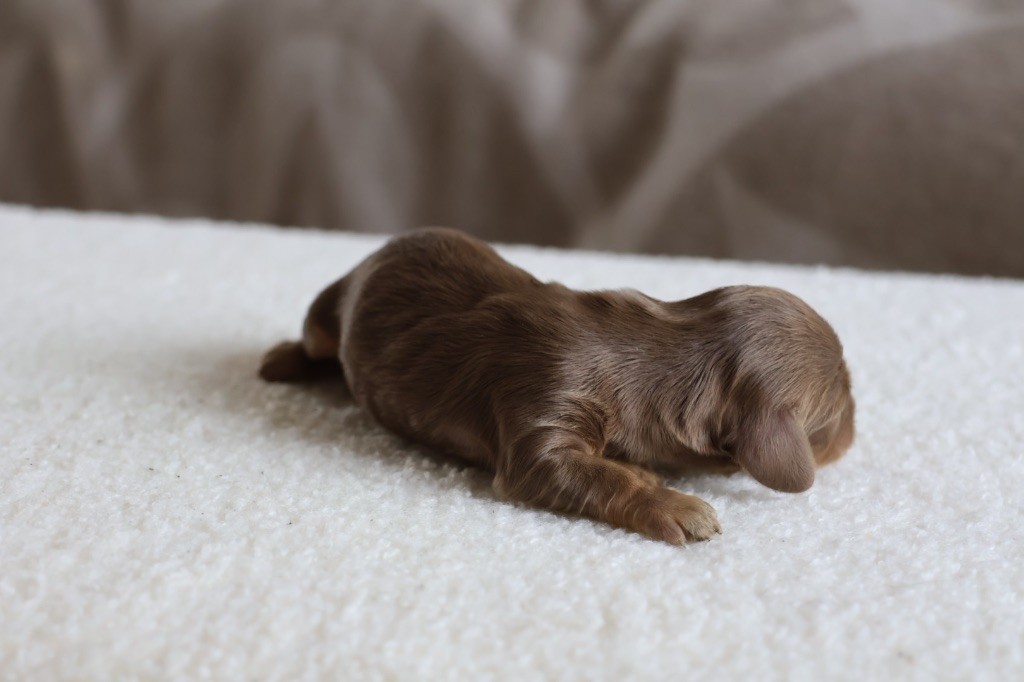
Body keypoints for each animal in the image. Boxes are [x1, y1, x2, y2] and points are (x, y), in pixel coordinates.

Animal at [259, 228, 855, 544]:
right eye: (836, 417)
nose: (854, 434)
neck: (665, 349)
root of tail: (375, 250)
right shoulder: (543, 410)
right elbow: (578, 472)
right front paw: (677, 505)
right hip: (329, 311)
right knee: (312, 340)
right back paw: (279, 361)